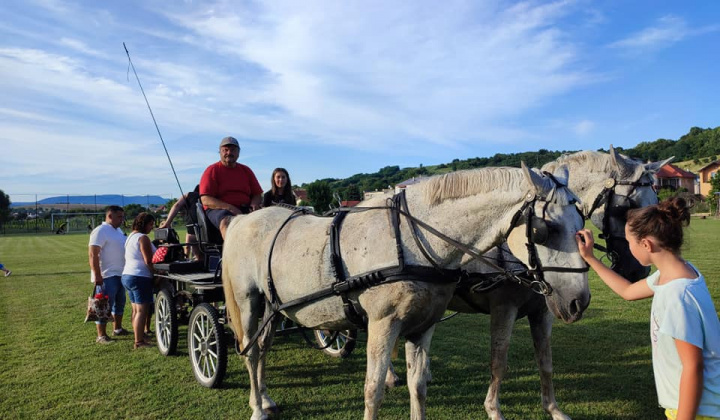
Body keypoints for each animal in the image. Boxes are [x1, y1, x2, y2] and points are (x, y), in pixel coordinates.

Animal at [225, 163, 592, 420]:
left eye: (582, 224)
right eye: (546, 229)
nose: (580, 301)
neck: (414, 239)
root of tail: (241, 221)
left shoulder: (423, 325)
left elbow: (418, 386)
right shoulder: (385, 323)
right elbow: (372, 391)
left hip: (273, 307)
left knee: (262, 347)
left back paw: (264, 398)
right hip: (248, 302)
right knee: (250, 351)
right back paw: (257, 408)